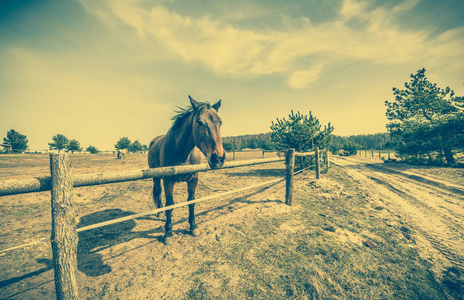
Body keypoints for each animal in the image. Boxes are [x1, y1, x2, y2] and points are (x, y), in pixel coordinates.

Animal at [148, 95, 226, 245]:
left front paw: (193, 227)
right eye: (199, 122)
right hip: (156, 177)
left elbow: (191, 201)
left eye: (220, 122)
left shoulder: (193, 179)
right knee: (158, 192)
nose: (218, 158)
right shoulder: (168, 181)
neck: (182, 152)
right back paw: (159, 211)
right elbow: (170, 205)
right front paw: (168, 233)